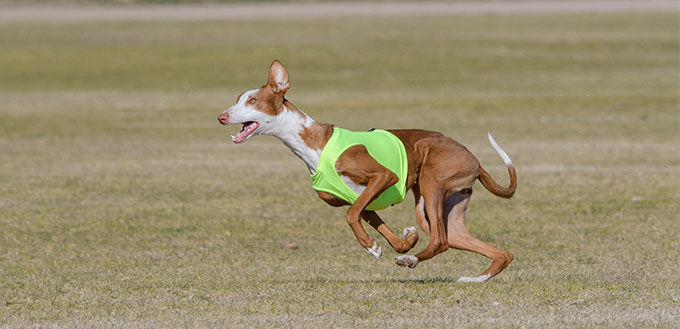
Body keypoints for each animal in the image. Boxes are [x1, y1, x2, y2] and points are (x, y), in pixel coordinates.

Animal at [218, 59, 516, 282]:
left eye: (253, 101)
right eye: (238, 99)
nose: (221, 117)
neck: (314, 142)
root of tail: (475, 160)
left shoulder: (384, 177)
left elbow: (351, 215)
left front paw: (373, 247)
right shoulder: (362, 199)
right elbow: (375, 224)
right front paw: (402, 241)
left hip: (432, 182)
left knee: (441, 241)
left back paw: (412, 260)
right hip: (442, 206)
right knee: (496, 252)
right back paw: (474, 277)